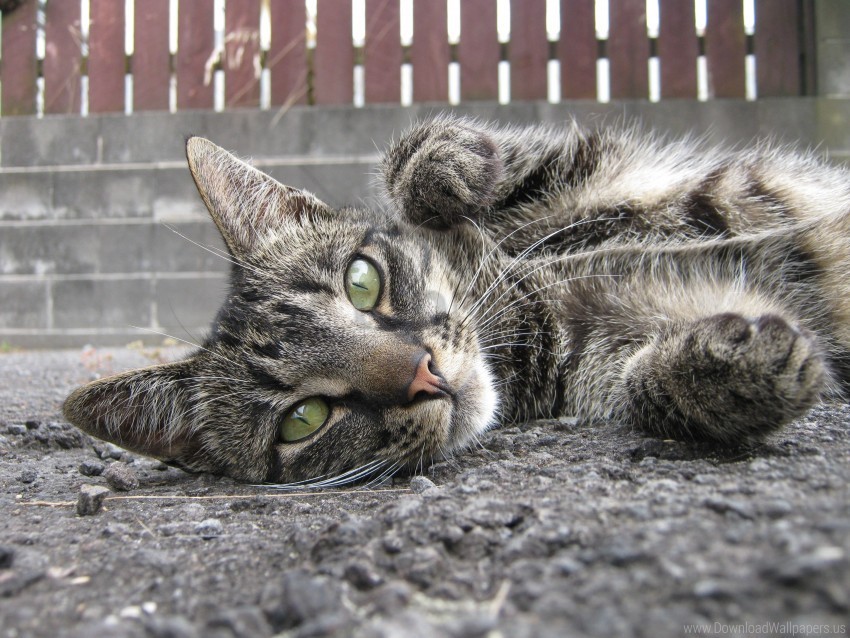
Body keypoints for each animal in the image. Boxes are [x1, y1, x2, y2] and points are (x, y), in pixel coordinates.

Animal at [63, 116, 848, 484]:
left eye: (362, 281)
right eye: (302, 420)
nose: (425, 375)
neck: (520, 301)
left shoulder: (595, 172)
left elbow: (423, 157)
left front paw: (445, 171)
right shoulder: (598, 349)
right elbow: (642, 387)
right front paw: (728, 365)